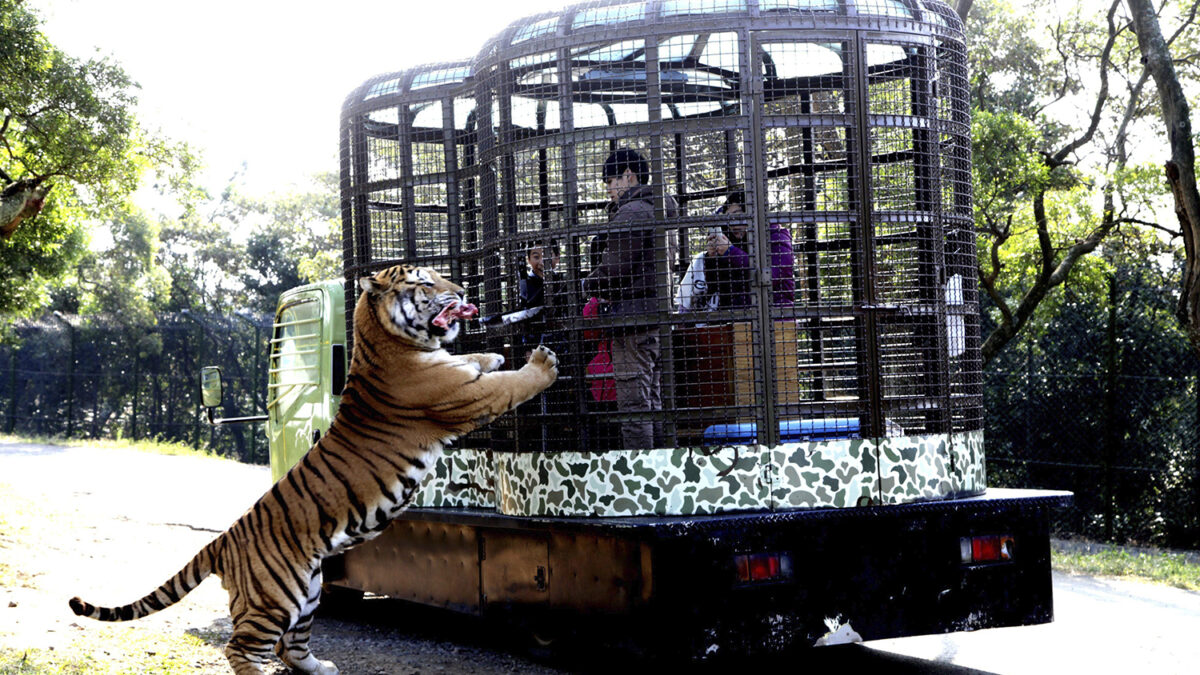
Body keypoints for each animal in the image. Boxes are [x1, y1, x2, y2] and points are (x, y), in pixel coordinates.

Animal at [70, 264, 561, 672]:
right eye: (425, 282)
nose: (462, 291)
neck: (390, 342)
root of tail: (224, 540)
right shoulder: (467, 396)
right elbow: (510, 383)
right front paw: (541, 363)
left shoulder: (458, 373)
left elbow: (475, 362)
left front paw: (492, 355)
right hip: (277, 597)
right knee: (241, 647)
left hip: (306, 592)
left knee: (289, 645)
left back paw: (321, 668)